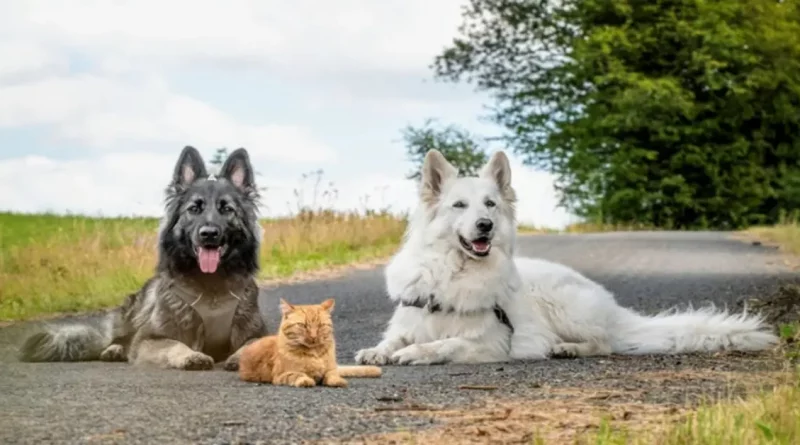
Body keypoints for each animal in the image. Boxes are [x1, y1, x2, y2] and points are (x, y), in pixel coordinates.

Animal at [238, 296, 382, 386]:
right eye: (303, 325)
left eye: (320, 326)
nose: (313, 336)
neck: (315, 354)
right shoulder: (280, 375)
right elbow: (297, 375)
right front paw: (305, 380)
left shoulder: (331, 369)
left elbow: (332, 374)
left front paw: (337, 381)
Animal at [356, 149, 780, 364]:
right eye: (459, 205)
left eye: (490, 204)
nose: (485, 226)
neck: (454, 272)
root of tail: (615, 309)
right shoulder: (410, 319)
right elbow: (392, 340)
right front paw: (377, 352)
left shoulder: (493, 343)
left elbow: (445, 344)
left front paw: (416, 353)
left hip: (562, 306)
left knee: (604, 342)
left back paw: (568, 348)